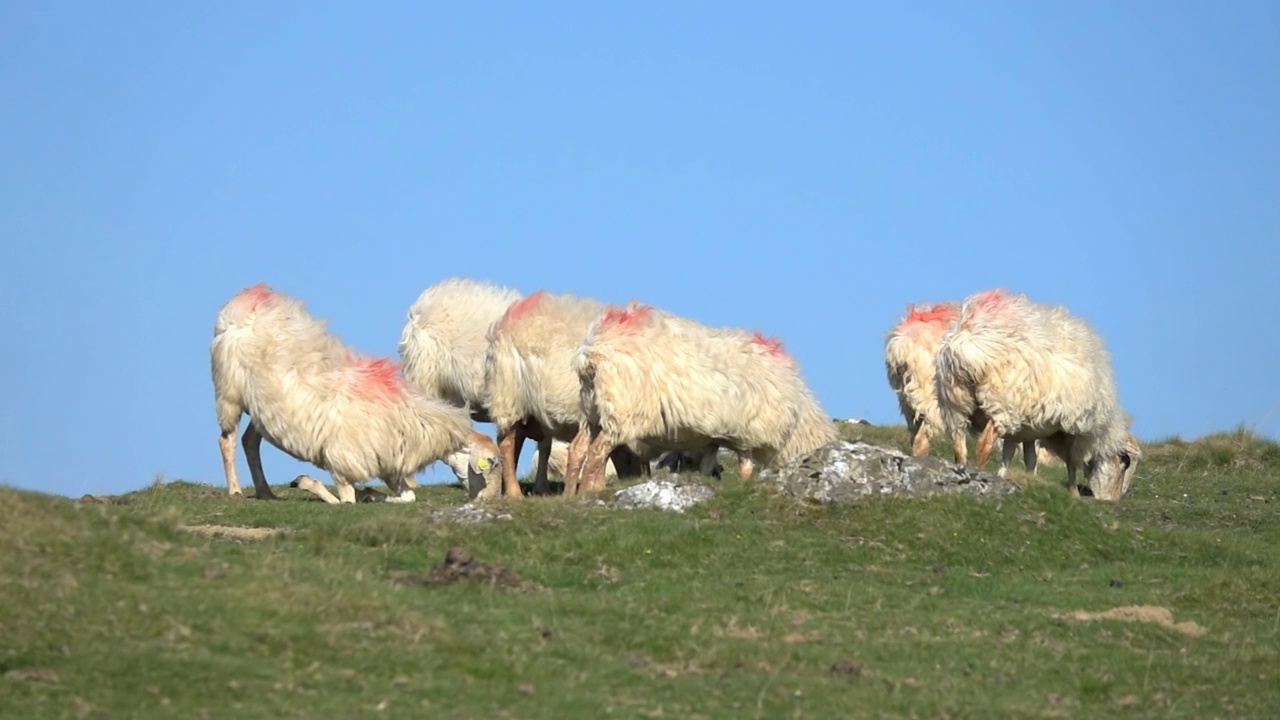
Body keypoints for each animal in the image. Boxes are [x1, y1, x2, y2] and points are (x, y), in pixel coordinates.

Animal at [208, 283, 499, 502]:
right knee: (227, 440)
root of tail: (241, 307)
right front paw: (309, 484)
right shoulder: (342, 464)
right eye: (491, 462)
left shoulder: (388, 465)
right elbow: (344, 500)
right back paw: (235, 490)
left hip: (261, 409)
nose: (487, 500)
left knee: (249, 441)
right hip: (229, 393)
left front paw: (371, 494)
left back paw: (265, 492)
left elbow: (407, 498)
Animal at [483, 288, 655, 497]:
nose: (638, 478)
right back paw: (515, 493)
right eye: (633, 459)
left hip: (525, 409)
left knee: (517, 441)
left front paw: (597, 486)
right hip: (507, 395)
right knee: (506, 443)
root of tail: (503, 323)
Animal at [565, 298, 834, 491]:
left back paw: (571, 496)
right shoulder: (749, 435)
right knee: (596, 454)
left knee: (577, 450)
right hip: (622, 410)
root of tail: (592, 350)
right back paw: (587, 494)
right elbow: (745, 468)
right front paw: (744, 487)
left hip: (593, 409)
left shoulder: (713, 438)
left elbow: (706, 466)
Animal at [931, 288, 1141, 497]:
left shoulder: (1027, 430)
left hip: (956, 402)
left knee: (960, 446)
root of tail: (968, 339)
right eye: (1123, 465)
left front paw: (1017, 478)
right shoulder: (1075, 428)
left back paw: (963, 472)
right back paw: (980, 475)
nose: (1112, 500)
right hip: (1001, 404)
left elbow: (1021, 457)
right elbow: (1071, 462)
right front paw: (1074, 493)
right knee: (983, 445)